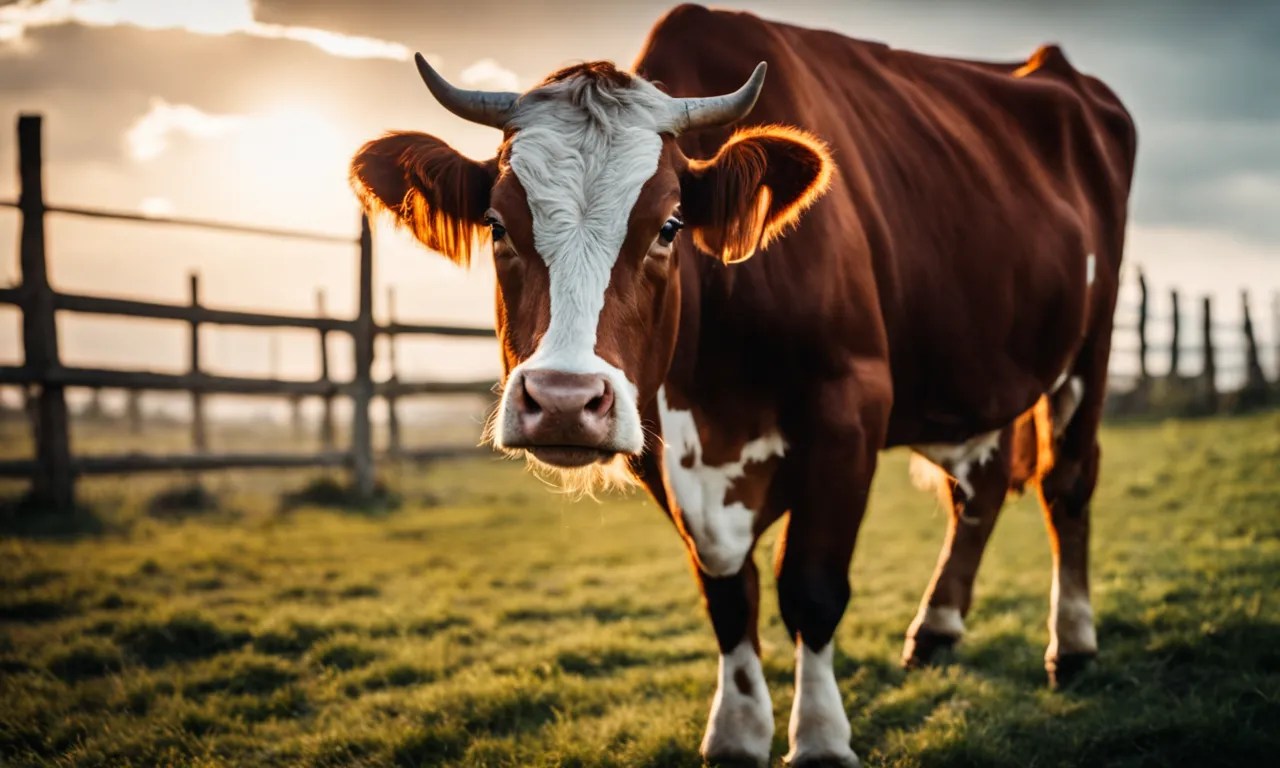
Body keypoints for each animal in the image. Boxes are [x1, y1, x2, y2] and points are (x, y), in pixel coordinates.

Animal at [350, 5, 1136, 765]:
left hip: (1088, 347)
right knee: (981, 485)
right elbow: (727, 592)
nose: (566, 402)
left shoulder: (851, 408)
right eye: (497, 224)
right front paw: (737, 729)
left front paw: (819, 737)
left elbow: (811, 587)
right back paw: (938, 628)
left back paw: (1072, 644)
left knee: (1067, 481)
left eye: (669, 225)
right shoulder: (662, 438)